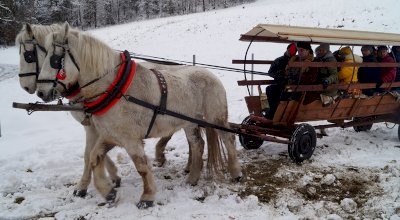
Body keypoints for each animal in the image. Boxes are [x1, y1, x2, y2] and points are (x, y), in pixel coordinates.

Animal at [16, 23, 195, 198]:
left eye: (28, 56)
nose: (34, 90)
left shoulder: (94, 127)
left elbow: (88, 154)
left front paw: (85, 185)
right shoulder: (97, 126)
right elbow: (95, 152)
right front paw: (111, 178)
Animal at [36, 23, 241, 209]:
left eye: (54, 59)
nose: (40, 92)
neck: (116, 90)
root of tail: (209, 73)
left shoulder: (131, 140)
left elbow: (142, 167)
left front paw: (147, 197)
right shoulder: (111, 136)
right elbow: (94, 158)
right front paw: (109, 192)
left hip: (215, 118)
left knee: (228, 138)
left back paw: (235, 172)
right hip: (189, 123)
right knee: (197, 144)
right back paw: (192, 178)